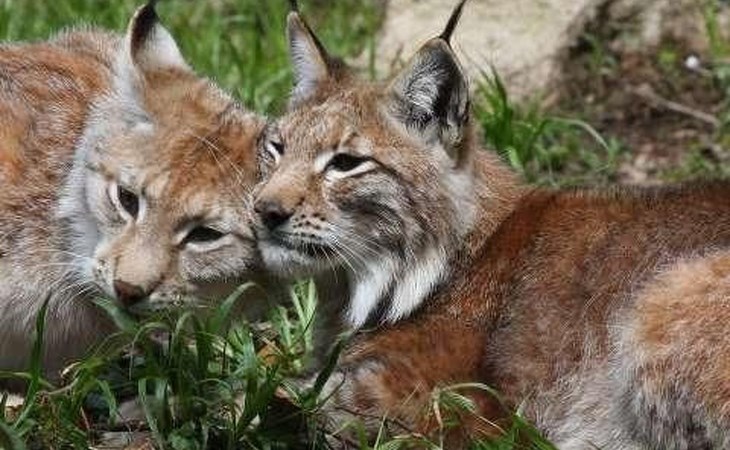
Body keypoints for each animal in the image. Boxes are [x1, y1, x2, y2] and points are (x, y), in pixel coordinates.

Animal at [252, 1, 730, 448]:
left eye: (346, 163)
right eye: (275, 148)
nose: (263, 210)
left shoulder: (446, 405)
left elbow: (278, 395)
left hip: (663, 295)